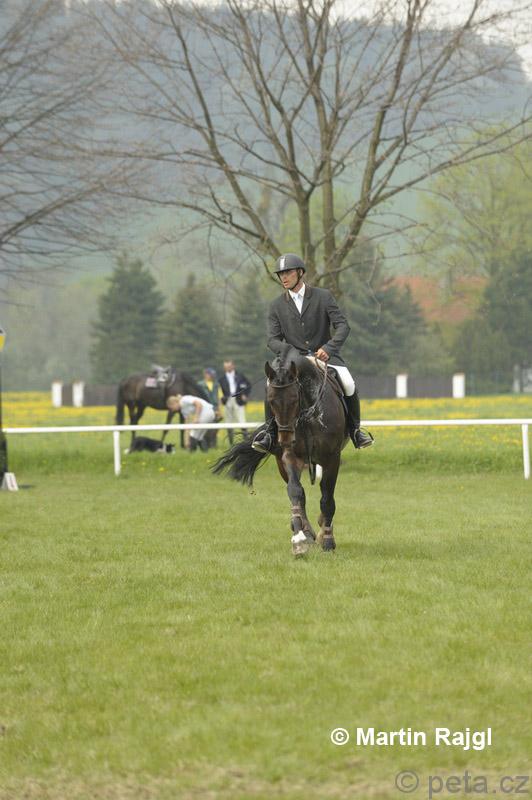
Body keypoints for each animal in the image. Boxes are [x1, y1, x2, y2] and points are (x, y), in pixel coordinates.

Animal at [213, 345, 348, 556]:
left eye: (294, 399)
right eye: (270, 401)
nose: (285, 439)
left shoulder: (331, 458)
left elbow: (327, 498)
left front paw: (327, 540)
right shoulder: (290, 456)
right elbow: (296, 492)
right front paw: (300, 538)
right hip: (281, 462)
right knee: (299, 494)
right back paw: (307, 531)